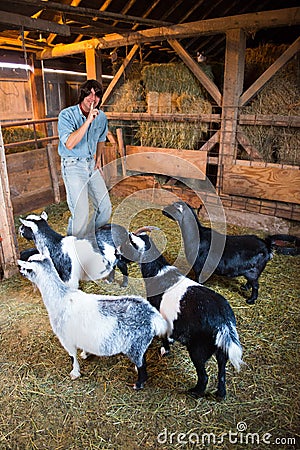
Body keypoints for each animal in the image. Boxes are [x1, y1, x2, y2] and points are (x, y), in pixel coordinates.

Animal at [18, 255, 169, 388]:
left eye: (27, 268)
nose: (20, 269)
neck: (60, 298)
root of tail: (153, 316)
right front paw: (85, 354)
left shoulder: (65, 338)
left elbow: (72, 356)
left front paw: (75, 373)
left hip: (136, 345)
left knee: (142, 365)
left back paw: (138, 384)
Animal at [118, 230, 243, 400]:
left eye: (127, 244)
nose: (116, 252)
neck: (157, 272)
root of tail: (223, 322)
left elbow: (164, 336)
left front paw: (165, 350)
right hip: (221, 348)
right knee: (221, 371)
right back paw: (220, 394)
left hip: (198, 349)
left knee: (204, 376)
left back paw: (195, 392)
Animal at [163, 202, 298, 304]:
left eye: (173, 208)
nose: (163, 210)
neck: (198, 236)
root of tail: (267, 246)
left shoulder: (200, 267)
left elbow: (199, 280)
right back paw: (245, 287)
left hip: (252, 271)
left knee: (256, 285)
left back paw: (251, 300)